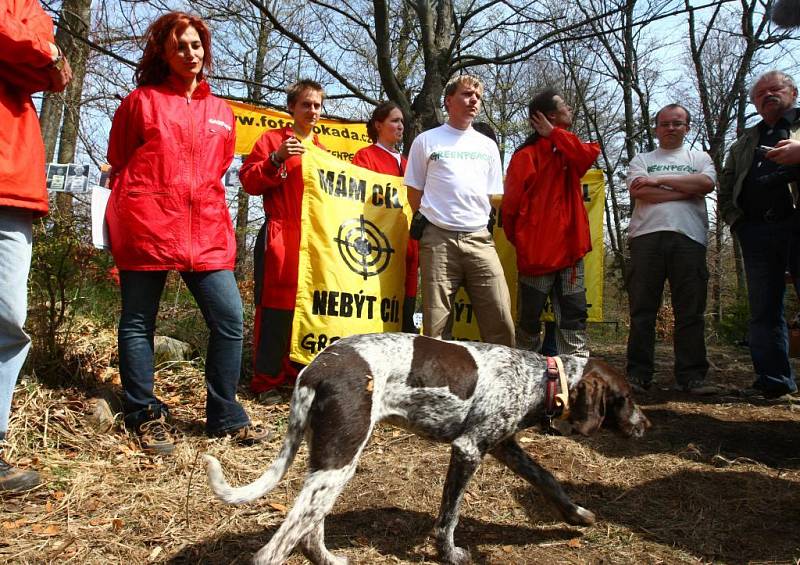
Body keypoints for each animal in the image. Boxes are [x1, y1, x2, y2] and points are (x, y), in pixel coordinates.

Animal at [205, 332, 648, 560]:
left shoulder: (505, 446)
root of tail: (314, 369)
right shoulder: (468, 449)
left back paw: (327, 557)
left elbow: (549, 481)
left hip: (329, 460)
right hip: (340, 460)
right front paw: (448, 554)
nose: (645, 426)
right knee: (273, 549)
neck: (541, 377)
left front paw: (577, 515)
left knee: (310, 529)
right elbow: (448, 518)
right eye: (626, 397)